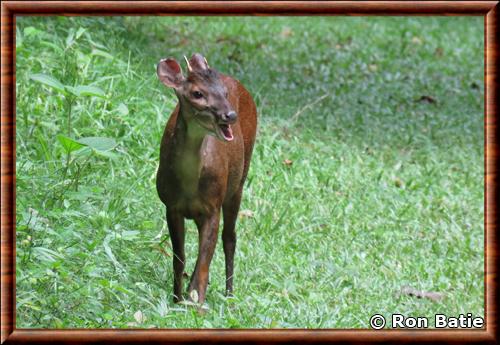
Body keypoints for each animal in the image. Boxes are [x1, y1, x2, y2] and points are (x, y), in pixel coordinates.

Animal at [156, 53, 258, 304]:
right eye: (197, 94)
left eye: (224, 92)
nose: (230, 115)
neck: (189, 185)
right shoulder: (171, 206)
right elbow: (179, 259)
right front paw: (177, 298)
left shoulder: (213, 206)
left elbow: (204, 261)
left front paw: (197, 303)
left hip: (237, 184)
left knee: (230, 237)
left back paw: (229, 294)